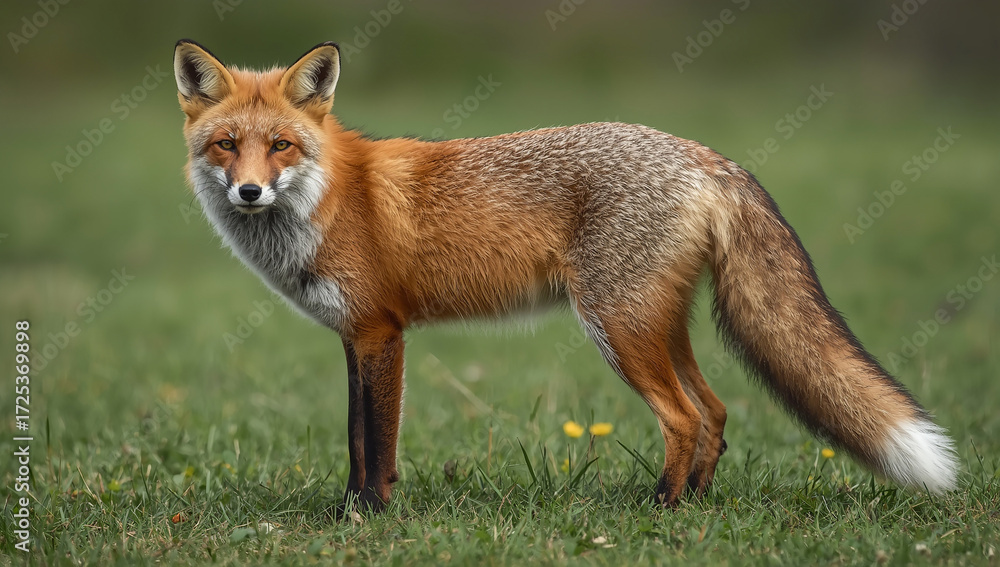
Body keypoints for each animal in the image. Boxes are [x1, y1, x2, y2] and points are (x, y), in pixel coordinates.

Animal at [173, 40, 959, 511]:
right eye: (226, 145)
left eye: (280, 145)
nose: (249, 192)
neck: (327, 197)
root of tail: (707, 155)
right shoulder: (353, 336)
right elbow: (355, 436)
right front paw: (350, 511)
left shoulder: (379, 332)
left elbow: (375, 441)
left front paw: (368, 516)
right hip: (657, 325)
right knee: (715, 412)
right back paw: (696, 504)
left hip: (617, 326)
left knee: (683, 416)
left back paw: (659, 509)